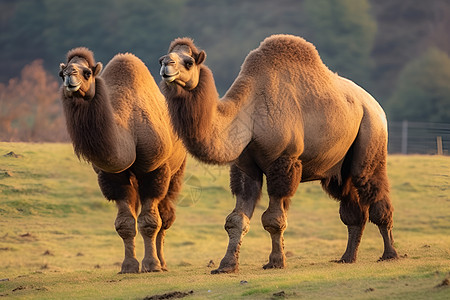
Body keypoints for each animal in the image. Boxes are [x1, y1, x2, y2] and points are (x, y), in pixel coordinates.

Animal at [60, 47, 186, 274]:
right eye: (61, 73)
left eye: (87, 73)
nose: (70, 79)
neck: (128, 127)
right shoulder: (111, 176)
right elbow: (125, 223)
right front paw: (128, 266)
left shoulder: (154, 170)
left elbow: (150, 222)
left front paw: (152, 265)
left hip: (176, 170)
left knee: (166, 215)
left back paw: (163, 263)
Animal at [160, 35, 400, 274]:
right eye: (163, 58)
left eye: (189, 62)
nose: (166, 66)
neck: (249, 114)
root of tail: (375, 105)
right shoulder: (245, 168)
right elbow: (236, 220)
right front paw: (226, 265)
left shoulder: (283, 161)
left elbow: (273, 219)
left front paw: (276, 262)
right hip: (338, 169)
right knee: (352, 209)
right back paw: (347, 257)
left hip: (370, 134)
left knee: (374, 190)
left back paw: (390, 254)